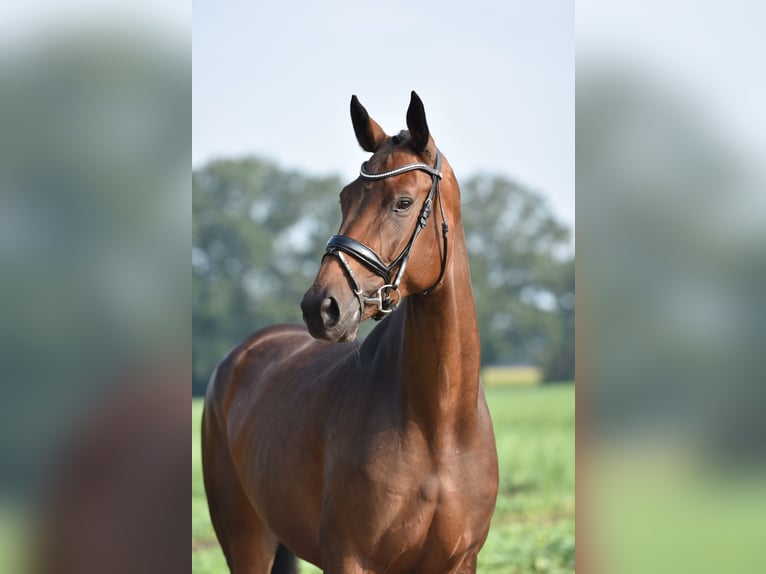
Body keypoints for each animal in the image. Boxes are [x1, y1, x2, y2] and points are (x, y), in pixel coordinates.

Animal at [204, 92, 500, 572]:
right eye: (346, 197)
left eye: (402, 202)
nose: (321, 307)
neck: (438, 426)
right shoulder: (349, 558)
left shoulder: (460, 561)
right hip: (246, 542)